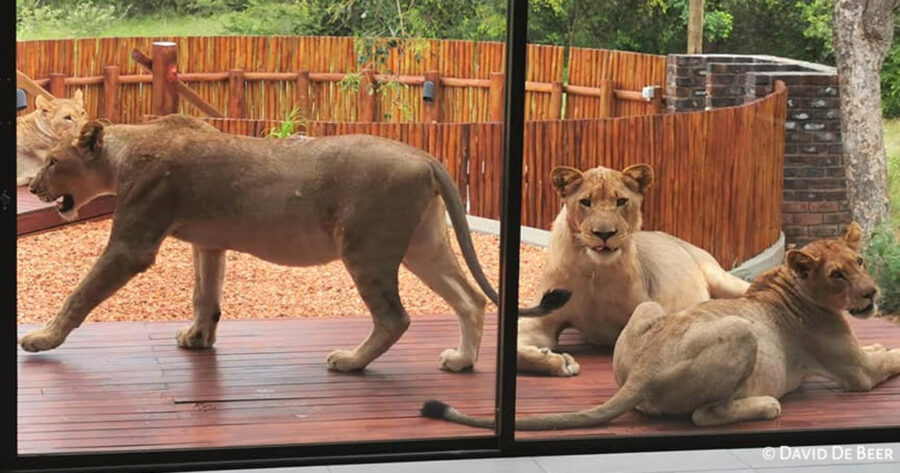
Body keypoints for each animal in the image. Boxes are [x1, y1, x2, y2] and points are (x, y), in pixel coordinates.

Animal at [19, 115, 570, 373]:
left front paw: (41, 339)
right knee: (470, 297)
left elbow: (80, 294)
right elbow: (205, 295)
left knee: (396, 317)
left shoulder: (132, 244)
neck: (122, 152)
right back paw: (461, 361)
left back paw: (350, 362)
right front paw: (197, 338)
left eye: (53, 161)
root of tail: (424, 155)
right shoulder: (209, 243)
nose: (34, 188)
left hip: (366, 248)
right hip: (423, 245)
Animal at [422, 223, 899, 429]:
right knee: (705, 415)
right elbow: (890, 358)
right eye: (836, 275)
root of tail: (643, 372)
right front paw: (885, 348)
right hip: (741, 333)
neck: (789, 285)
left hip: (648, 308)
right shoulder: (857, 373)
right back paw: (765, 405)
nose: (873, 294)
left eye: (859, 261)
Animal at [516, 164, 750, 376]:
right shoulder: (541, 319)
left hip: (721, 278)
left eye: (621, 201)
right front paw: (558, 361)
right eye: (585, 202)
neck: (594, 272)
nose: (604, 233)